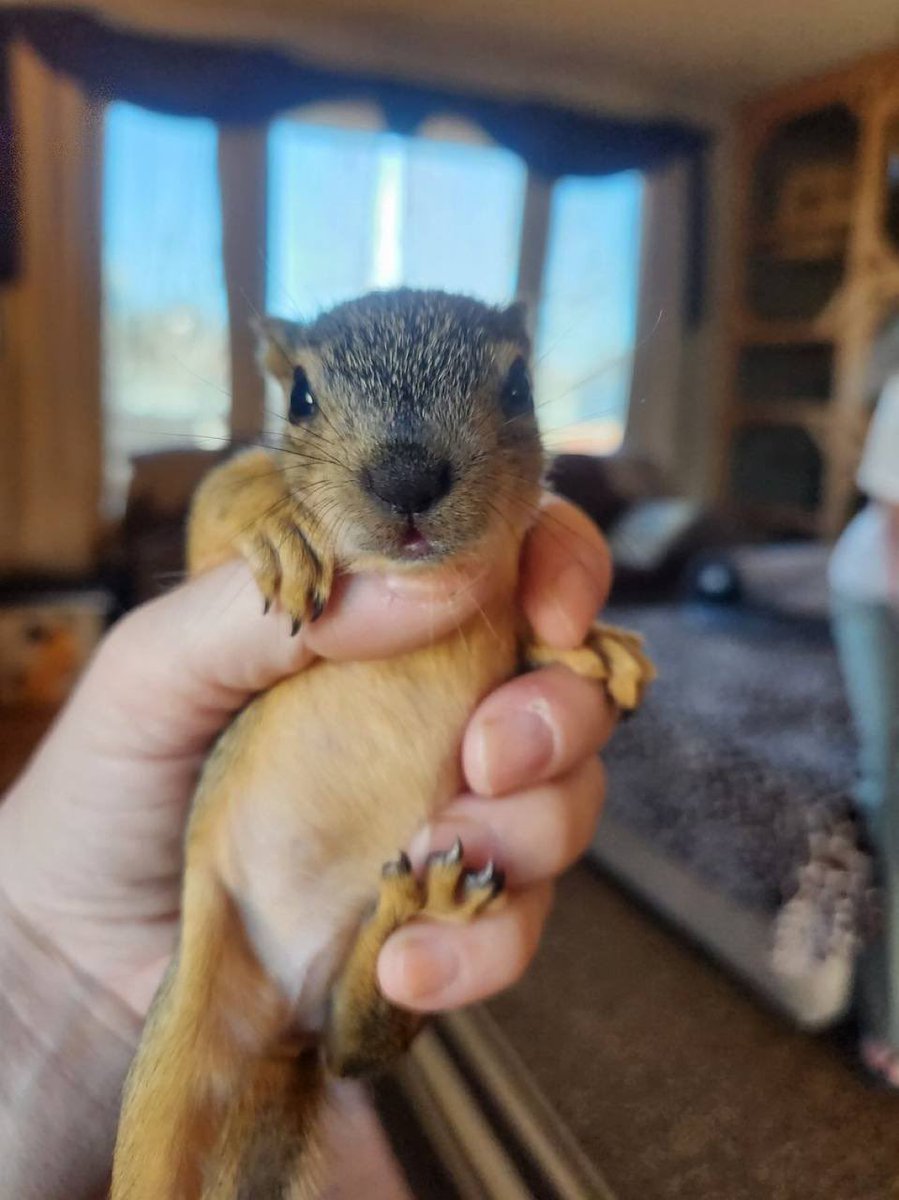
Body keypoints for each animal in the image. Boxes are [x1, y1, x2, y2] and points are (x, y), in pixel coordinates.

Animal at [110, 288, 655, 1199]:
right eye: (298, 396)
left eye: (518, 388)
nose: (406, 480)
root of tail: (282, 1030)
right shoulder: (203, 560)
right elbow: (218, 500)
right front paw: (276, 516)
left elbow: (533, 636)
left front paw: (589, 642)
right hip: (173, 1052)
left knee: (349, 1050)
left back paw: (413, 921)